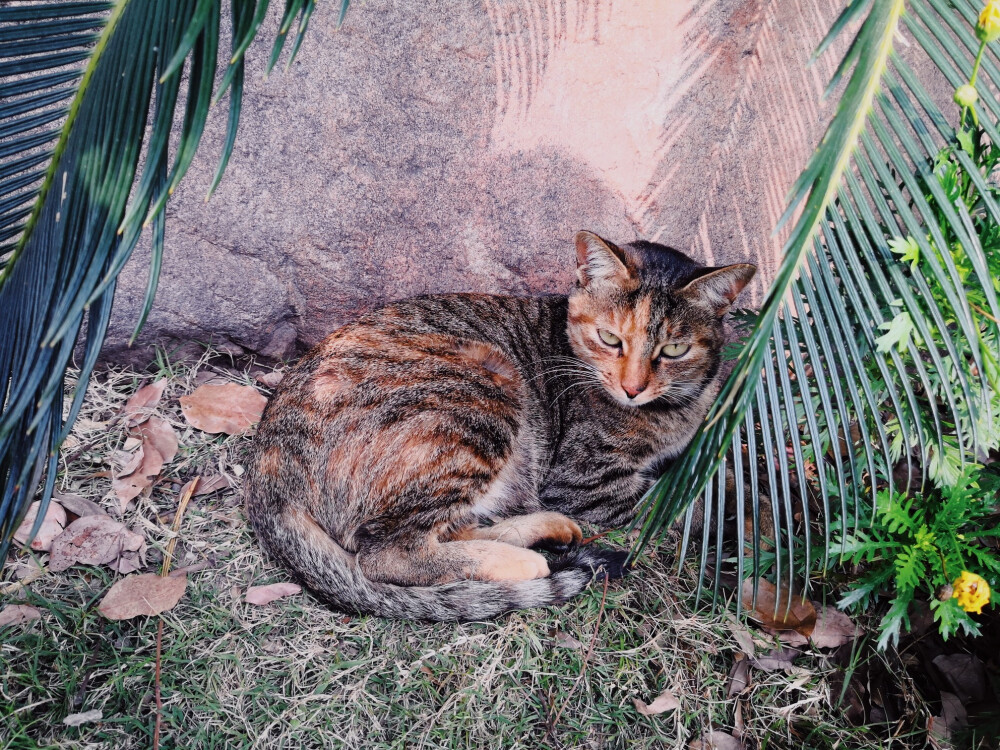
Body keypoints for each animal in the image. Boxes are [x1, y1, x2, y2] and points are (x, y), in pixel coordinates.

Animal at [246, 234, 752, 624]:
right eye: (611, 339)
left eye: (674, 350)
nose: (633, 388)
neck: (679, 405)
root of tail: (267, 463)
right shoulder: (586, 480)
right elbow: (684, 504)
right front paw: (750, 519)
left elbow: (718, 478)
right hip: (480, 394)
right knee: (386, 553)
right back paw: (526, 559)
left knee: (450, 528)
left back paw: (546, 530)